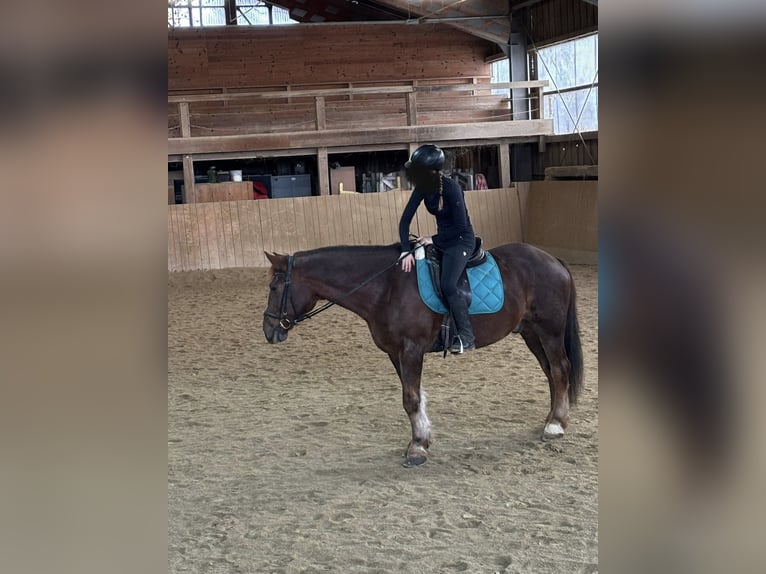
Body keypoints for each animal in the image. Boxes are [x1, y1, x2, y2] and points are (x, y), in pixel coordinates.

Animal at [262, 242, 583, 468]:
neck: (387, 287)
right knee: (551, 372)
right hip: (531, 332)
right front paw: (423, 439)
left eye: (274, 287)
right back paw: (552, 418)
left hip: (550, 330)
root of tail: (553, 260)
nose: (268, 330)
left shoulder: (412, 348)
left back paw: (555, 425)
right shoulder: (395, 352)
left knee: (560, 369)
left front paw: (417, 447)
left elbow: (411, 398)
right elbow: (413, 397)